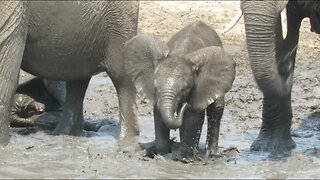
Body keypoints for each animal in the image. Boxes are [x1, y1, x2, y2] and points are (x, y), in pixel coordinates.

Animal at [124, 21, 236, 159]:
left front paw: (184, 158)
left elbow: (193, 117)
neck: (180, 53)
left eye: (185, 89)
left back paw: (211, 154)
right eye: (155, 88)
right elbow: (158, 113)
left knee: (216, 111)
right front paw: (163, 153)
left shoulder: (199, 88)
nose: (184, 104)